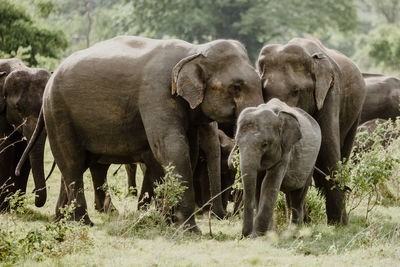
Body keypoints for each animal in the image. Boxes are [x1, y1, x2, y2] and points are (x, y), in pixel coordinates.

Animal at [18, 36, 264, 232]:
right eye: (236, 87)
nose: (225, 216)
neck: (195, 51)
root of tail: (52, 77)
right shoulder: (156, 93)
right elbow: (171, 147)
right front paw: (189, 230)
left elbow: (188, 152)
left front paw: (169, 222)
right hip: (58, 112)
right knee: (72, 162)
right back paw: (83, 223)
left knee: (79, 164)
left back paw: (63, 220)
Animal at [236, 98, 320, 237]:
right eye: (237, 144)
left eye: (265, 144)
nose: (245, 235)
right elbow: (259, 186)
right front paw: (268, 234)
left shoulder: (285, 150)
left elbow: (269, 184)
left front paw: (258, 235)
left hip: (311, 163)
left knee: (298, 194)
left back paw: (294, 230)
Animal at [258, 37, 368, 225]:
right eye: (264, 91)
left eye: (296, 91)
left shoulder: (331, 92)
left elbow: (327, 147)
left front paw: (339, 225)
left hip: (357, 111)